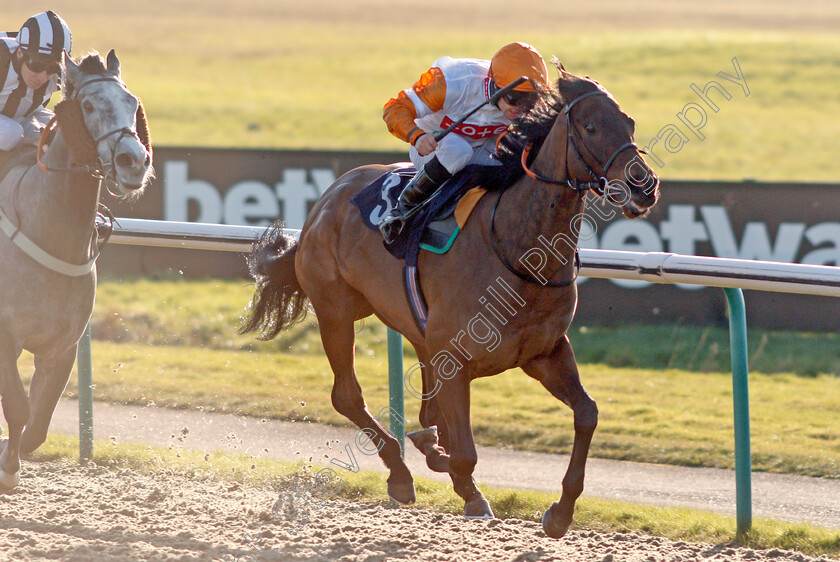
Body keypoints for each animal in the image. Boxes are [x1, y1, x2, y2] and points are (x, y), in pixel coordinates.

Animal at [0, 50, 153, 488]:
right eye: (87, 105)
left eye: (132, 103)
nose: (134, 161)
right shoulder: (4, 337)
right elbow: (18, 407)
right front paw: (8, 471)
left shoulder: (63, 346)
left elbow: (36, 425)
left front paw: (11, 452)